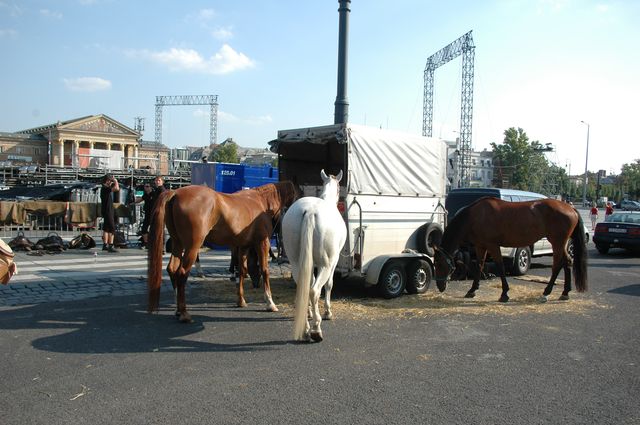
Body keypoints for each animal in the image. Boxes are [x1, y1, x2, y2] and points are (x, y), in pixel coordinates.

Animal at [147, 180, 298, 322]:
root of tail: (175, 193)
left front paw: (241, 301)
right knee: (182, 273)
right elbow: (265, 270)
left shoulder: (243, 246)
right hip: (192, 246)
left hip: (178, 243)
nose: (256, 285)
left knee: (172, 269)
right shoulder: (262, 242)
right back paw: (184, 313)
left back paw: (178, 311)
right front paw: (270, 303)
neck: (261, 201)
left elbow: (241, 271)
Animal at [282, 169, 348, 342]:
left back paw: (305, 328)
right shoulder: (333, 263)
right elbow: (329, 285)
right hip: (326, 265)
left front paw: (310, 312)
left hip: (296, 263)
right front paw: (327, 312)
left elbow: (309, 282)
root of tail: (310, 211)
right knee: (314, 290)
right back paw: (316, 330)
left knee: (304, 288)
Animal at [432, 198, 588, 302]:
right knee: (567, 262)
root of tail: (571, 208)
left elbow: (500, 266)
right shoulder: (480, 246)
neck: (476, 216)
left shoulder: (493, 245)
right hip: (561, 243)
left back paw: (546, 293)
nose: (440, 286)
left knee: (557, 265)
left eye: (438, 264)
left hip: (557, 242)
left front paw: (504, 294)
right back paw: (565, 293)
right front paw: (472, 290)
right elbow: (479, 265)